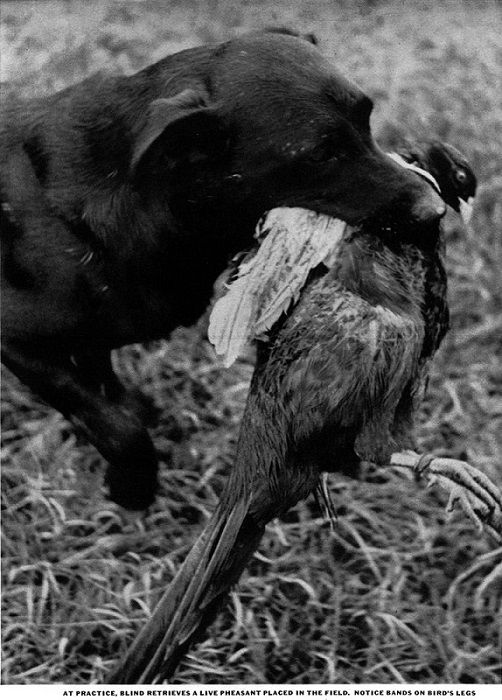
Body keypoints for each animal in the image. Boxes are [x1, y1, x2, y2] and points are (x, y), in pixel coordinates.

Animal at [1, 30, 446, 508]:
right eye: (320, 154)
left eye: (367, 119)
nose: (436, 209)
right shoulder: (19, 341)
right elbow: (118, 426)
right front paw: (132, 485)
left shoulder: (90, 340)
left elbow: (106, 389)